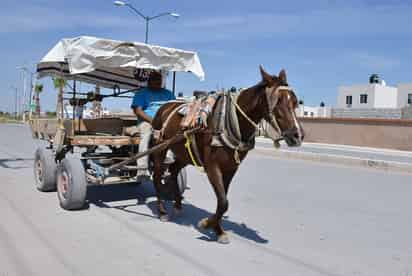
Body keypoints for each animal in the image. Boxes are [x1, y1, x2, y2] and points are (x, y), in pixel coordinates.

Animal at [150, 66, 304, 244]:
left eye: (295, 101)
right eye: (277, 100)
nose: (298, 136)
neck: (229, 120)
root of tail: (164, 107)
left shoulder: (231, 168)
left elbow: (222, 201)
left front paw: (217, 229)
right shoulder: (212, 167)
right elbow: (223, 201)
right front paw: (207, 224)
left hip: (184, 153)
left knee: (174, 170)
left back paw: (177, 205)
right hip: (160, 149)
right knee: (157, 175)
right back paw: (162, 211)